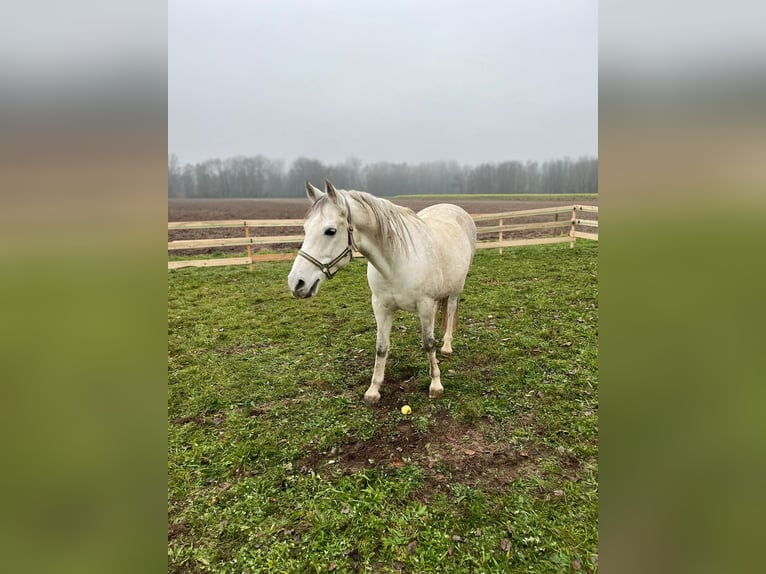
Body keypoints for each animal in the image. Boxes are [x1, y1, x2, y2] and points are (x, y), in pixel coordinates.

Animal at [287, 180, 477, 404]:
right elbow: (381, 346)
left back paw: (447, 346)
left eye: (330, 231)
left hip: (456, 289)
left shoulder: (425, 305)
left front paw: (436, 385)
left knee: (451, 310)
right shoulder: (381, 306)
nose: (297, 283)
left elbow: (428, 344)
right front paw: (374, 389)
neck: (396, 261)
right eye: (305, 228)